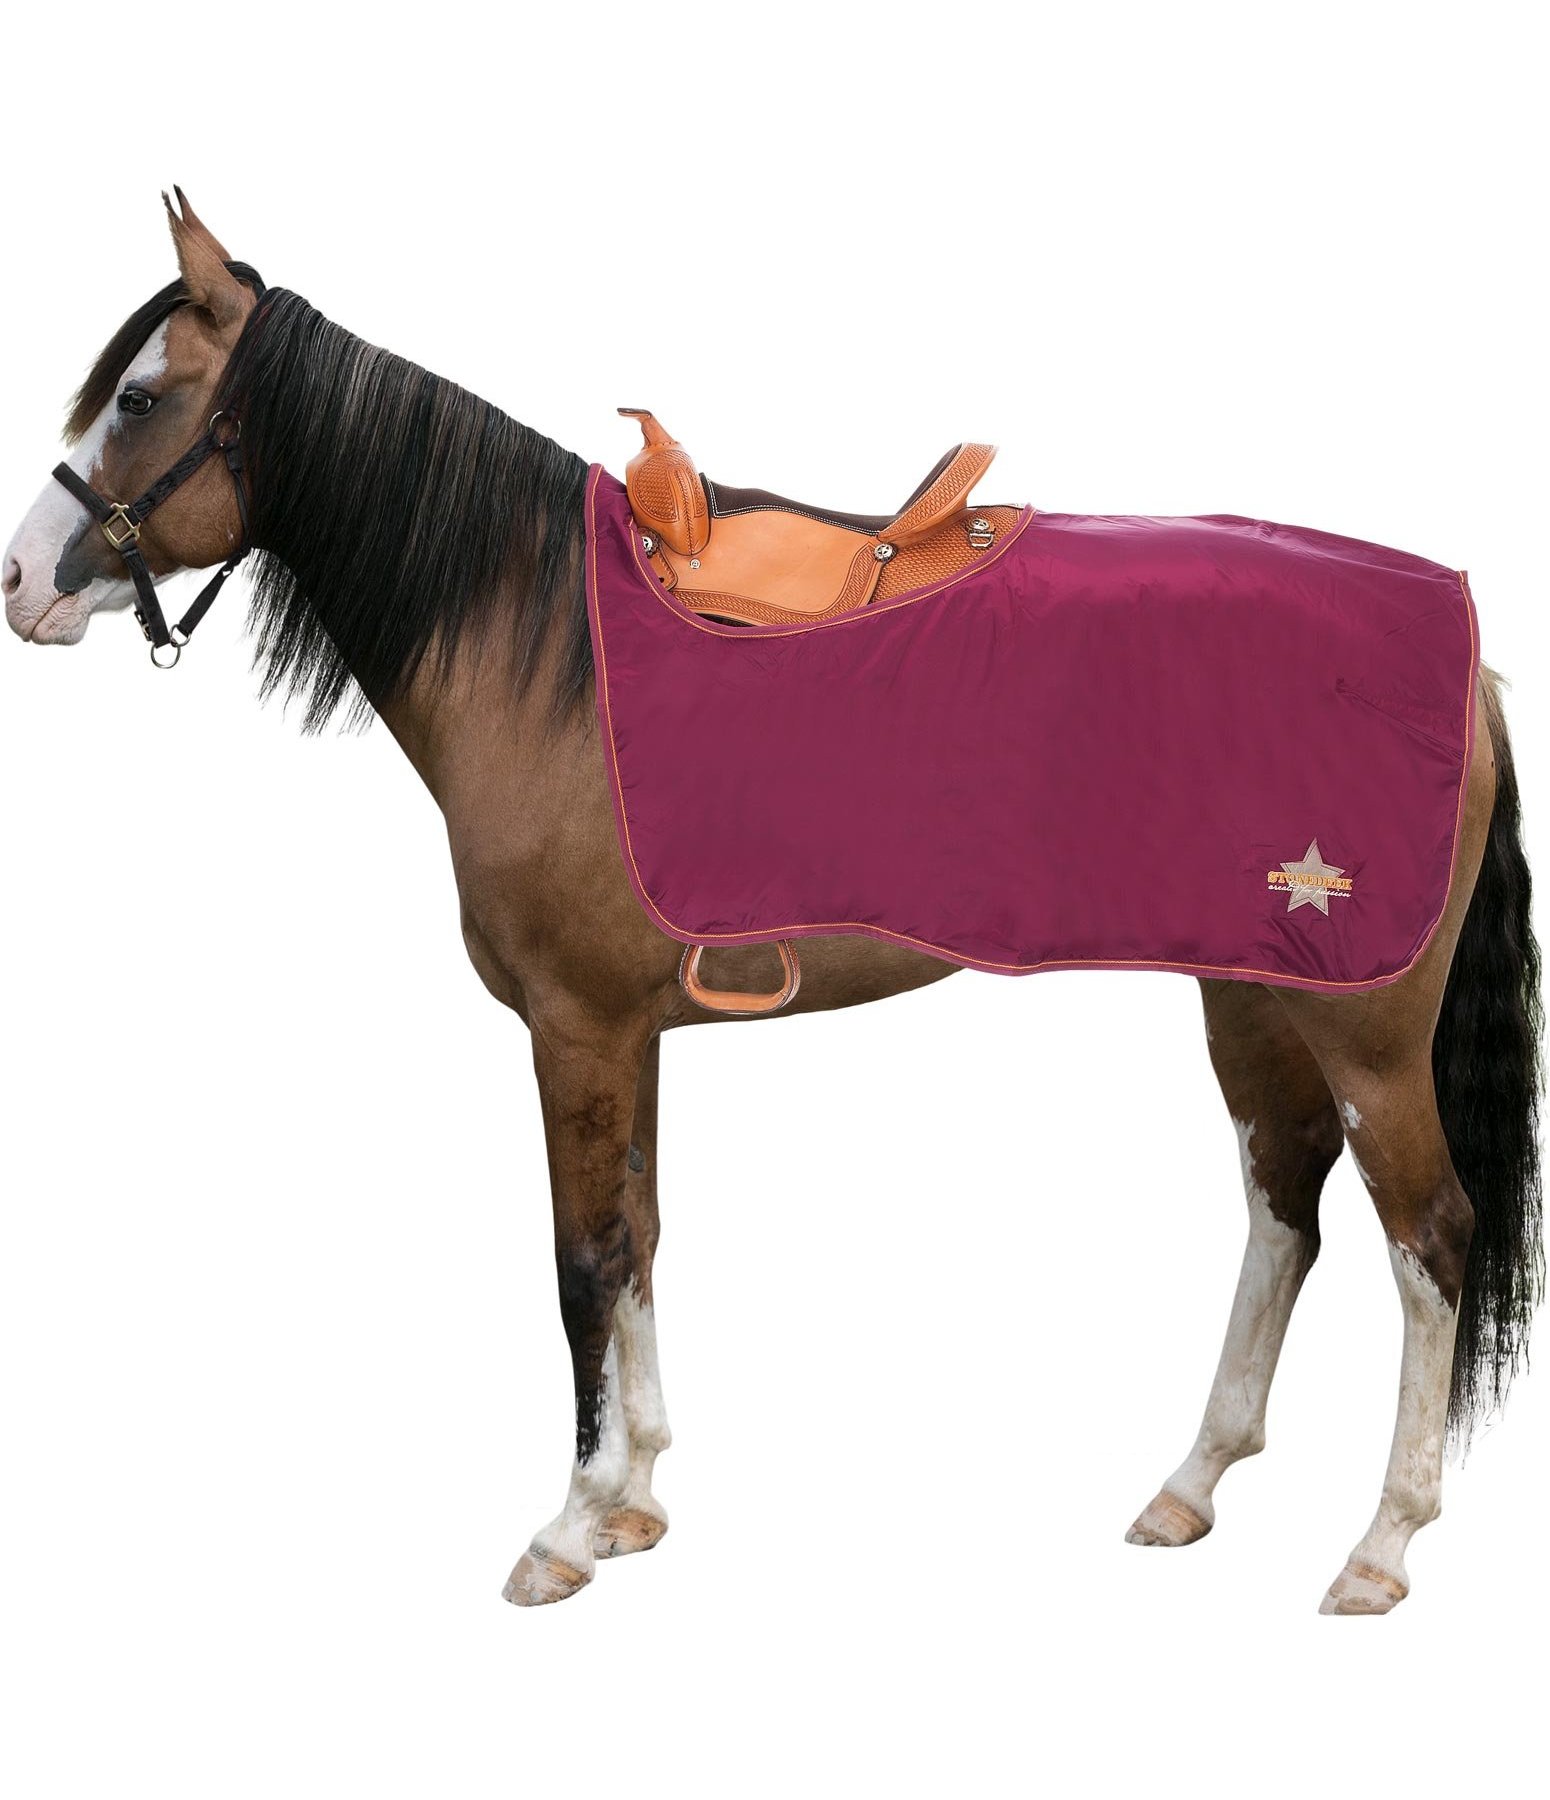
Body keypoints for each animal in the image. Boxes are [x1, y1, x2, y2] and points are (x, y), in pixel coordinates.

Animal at [4, 192, 1541, 1615]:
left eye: (137, 399)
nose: (20, 582)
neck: (539, 644)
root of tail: (1463, 657)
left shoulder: (573, 1029)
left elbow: (580, 1263)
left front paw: (568, 1530)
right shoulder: (628, 1034)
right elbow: (638, 1239)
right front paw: (635, 1496)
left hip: (1365, 1030)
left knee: (1428, 1237)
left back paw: (1380, 1544)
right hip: (1250, 993)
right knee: (1284, 1204)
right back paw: (1192, 1481)